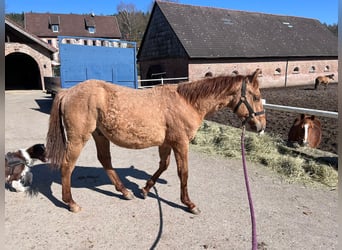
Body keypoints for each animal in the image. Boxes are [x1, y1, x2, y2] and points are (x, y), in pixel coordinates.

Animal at [45, 69, 266, 214]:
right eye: (255, 96)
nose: (261, 126)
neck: (186, 101)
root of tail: (68, 92)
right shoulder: (181, 143)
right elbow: (183, 173)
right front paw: (189, 204)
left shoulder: (167, 143)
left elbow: (163, 166)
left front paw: (144, 189)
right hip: (78, 139)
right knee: (67, 166)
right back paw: (71, 203)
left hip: (100, 135)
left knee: (105, 161)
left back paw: (125, 192)